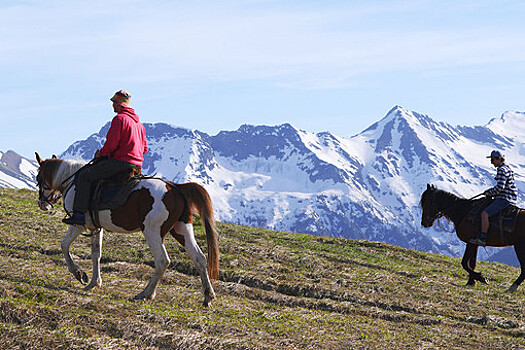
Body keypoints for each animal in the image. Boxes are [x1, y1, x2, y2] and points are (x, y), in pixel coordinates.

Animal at [34, 152, 218, 304]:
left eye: (38, 177)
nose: (42, 204)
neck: (72, 181)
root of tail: (177, 188)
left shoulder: (77, 224)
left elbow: (64, 245)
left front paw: (79, 274)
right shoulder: (96, 228)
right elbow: (96, 254)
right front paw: (94, 282)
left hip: (153, 232)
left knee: (162, 261)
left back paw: (146, 293)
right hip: (182, 230)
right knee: (199, 258)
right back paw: (208, 295)